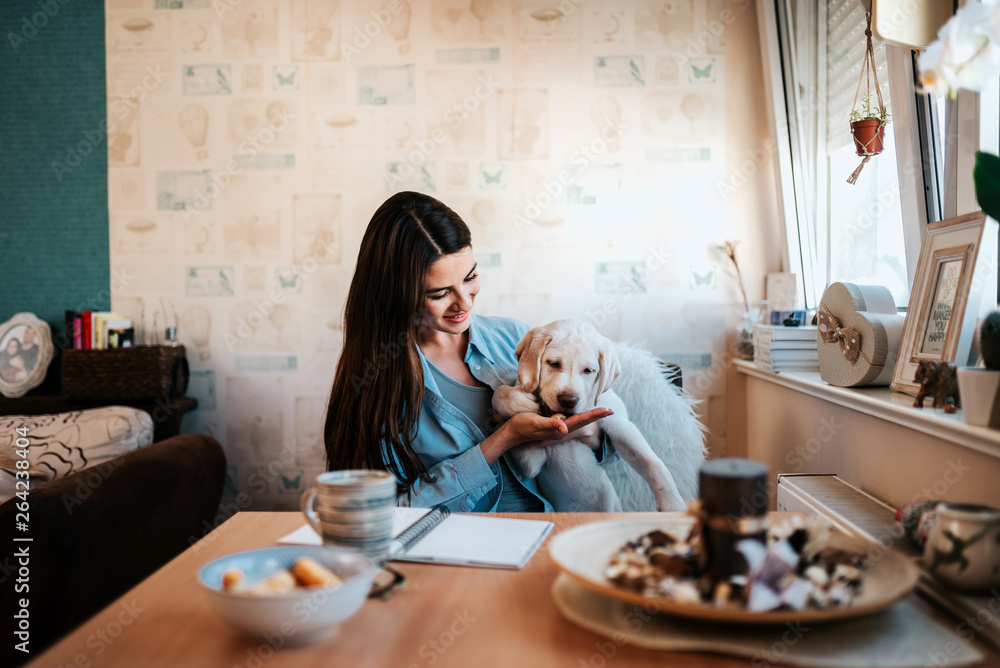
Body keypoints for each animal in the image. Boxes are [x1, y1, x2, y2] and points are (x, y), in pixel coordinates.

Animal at [492, 318, 688, 512]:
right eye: (553, 363)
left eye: (588, 371)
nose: (568, 400)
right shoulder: (532, 463)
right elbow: (500, 392)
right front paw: (513, 401)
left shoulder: (621, 425)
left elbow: (652, 462)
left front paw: (672, 504)